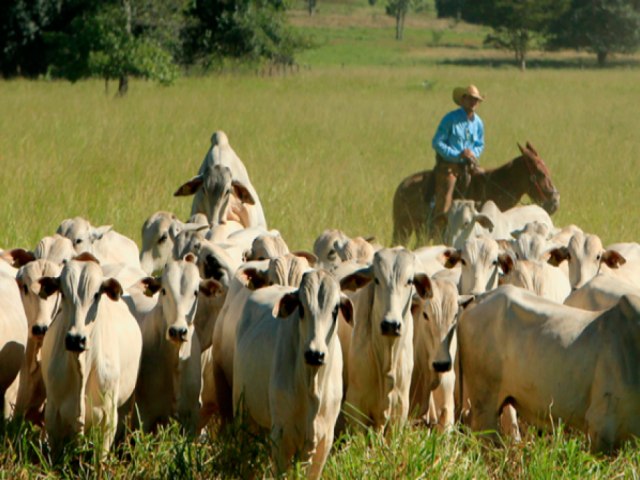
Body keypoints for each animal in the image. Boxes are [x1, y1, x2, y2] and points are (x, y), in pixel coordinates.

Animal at [232, 270, 348, 480]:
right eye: (301, 307)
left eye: (335, 310)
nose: (315, 354)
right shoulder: (282, 437)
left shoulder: (324, 440)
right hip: (242, 413)